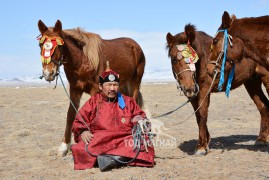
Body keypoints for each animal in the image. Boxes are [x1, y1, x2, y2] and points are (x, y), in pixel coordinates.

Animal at [37, 20, 144, 156]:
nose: (48, 73)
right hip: (123, 84)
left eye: (59, 46)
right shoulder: (75, 90)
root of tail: (135, 45)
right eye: (40, 45)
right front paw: (64, 146)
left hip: (135, 81)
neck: (82, 60)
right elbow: (70, 115)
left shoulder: (95, 90)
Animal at [165, 23, 268, 155]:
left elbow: (202, 115)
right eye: (173, 59)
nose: (188, 87)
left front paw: (201, 147)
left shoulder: (204, 91)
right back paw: (262, 139)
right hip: (252, 83)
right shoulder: (194, 95)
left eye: (194, 59)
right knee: (263, 106)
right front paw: (205, 141)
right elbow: (198, 116)